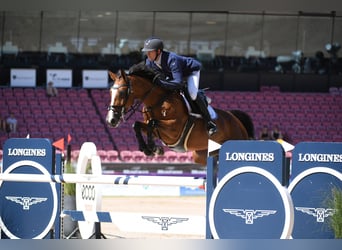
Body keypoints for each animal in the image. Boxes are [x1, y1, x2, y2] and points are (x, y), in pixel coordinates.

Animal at [107, 64, 254, 166]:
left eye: (122, 93)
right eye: (110, 92)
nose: (111, 120)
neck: (157, 101)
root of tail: (235, 118)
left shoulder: (174, 130)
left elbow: (152, 123)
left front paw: (153, 148)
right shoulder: (158, 130)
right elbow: (137, 125)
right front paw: (149, 149)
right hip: (201, 155)